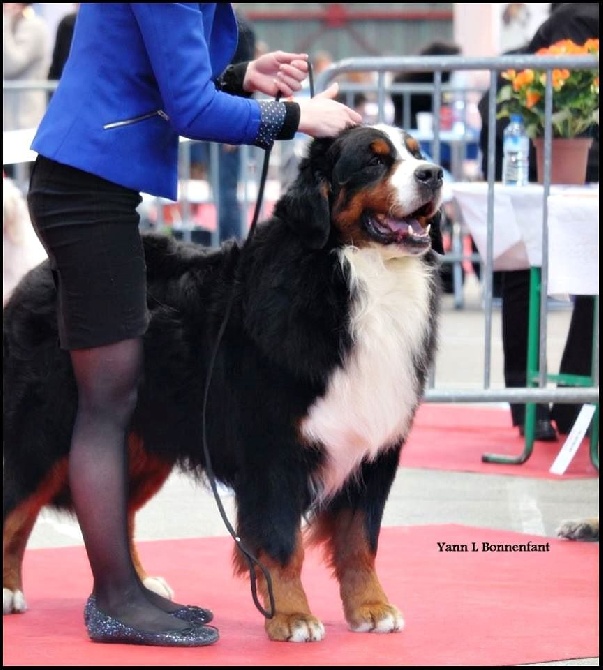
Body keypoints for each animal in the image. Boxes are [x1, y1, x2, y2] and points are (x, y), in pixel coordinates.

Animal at [2, 124, 446, 644]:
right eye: (375, 162)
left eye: (417, 153)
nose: (434, 173)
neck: (357, 277)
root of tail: (38, 272)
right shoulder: (274, 446)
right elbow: (281, 540)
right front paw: (291, 616)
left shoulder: (374, 445)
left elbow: (361, 539)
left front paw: (372, 609)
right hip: (42, 429)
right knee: (17, 504)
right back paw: (9, 589)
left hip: (141, 442)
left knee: (113, 511)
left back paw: (142, 589)